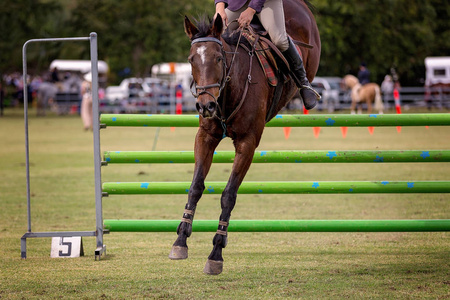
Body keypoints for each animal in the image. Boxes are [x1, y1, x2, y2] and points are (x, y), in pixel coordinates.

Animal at [169, 0, 320, 276]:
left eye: (219, 58)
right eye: (191, 59)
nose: (205, 106)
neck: (229, 90)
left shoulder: (247, 144)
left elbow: (228, 195)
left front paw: (216, 254)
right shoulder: (205, 137)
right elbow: (196, 187)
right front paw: (180, 241)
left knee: (285, 44)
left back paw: (307, 92)